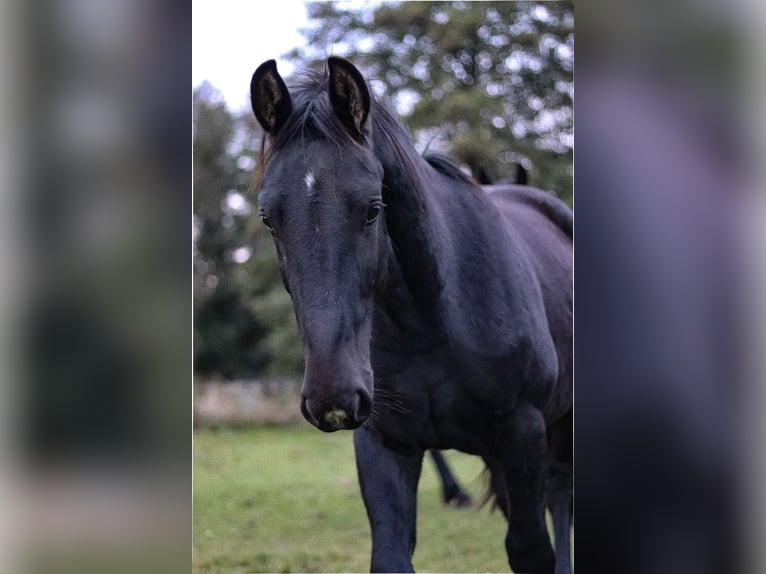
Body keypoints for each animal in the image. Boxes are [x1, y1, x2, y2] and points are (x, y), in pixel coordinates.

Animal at [250, 57, 572, 574]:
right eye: (268, 218)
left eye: (372, 208)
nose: (332, 395)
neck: (434, 322)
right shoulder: (385, 443)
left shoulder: (524, 431)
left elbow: (532, 547)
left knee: (562, 499)